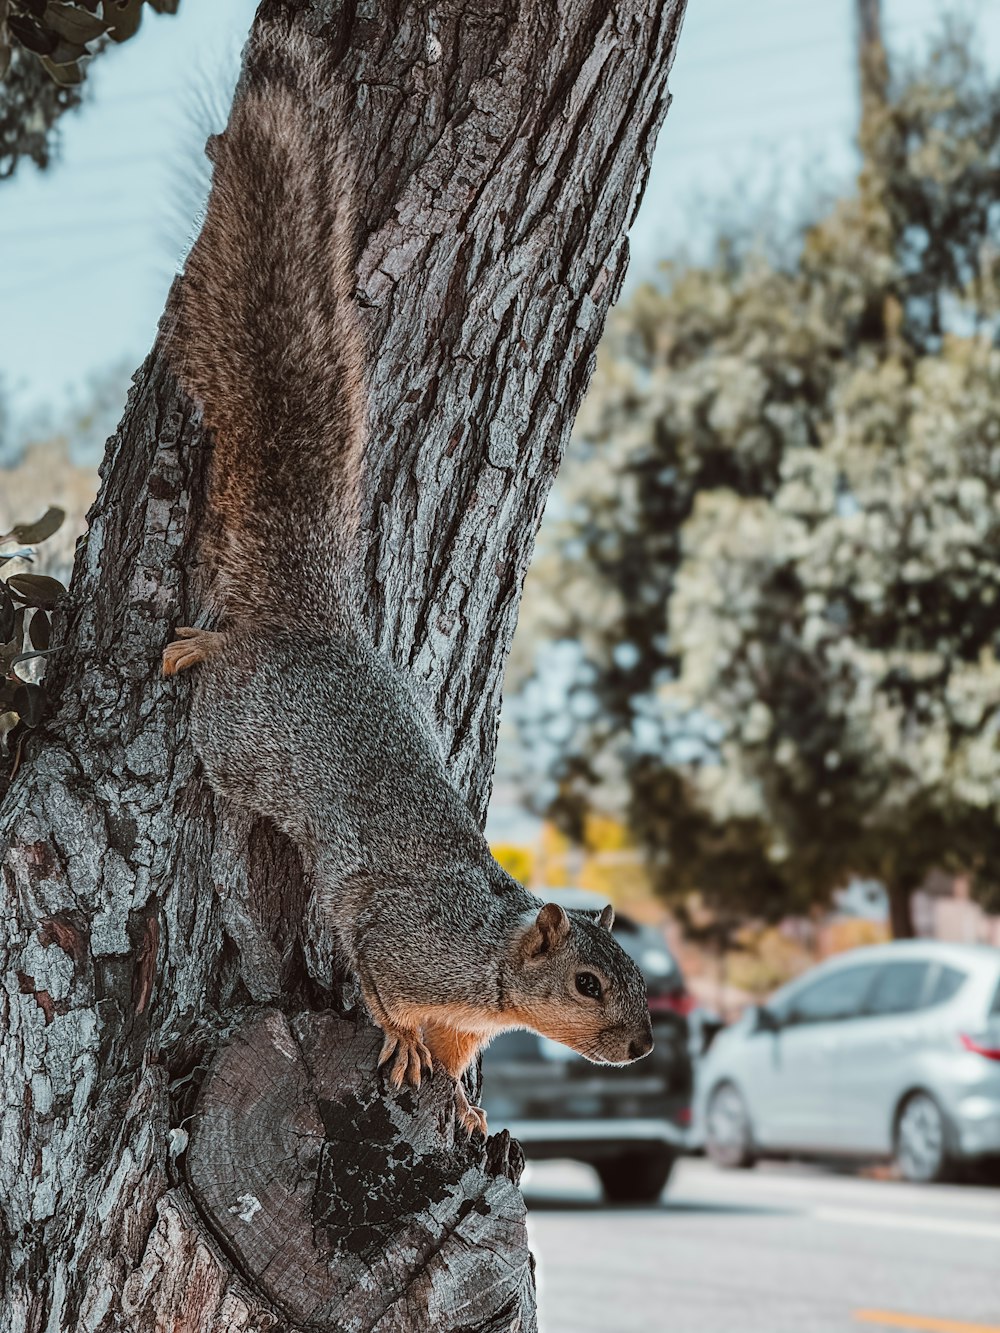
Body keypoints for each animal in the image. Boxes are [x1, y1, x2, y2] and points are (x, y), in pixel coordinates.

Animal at [160, 20, 653, 1135]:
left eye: (643, 976)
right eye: (588, 983)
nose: (645, 1043)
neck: (488, 964)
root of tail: (314, 625)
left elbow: (460, 1057)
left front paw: (464, 1105)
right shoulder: (393, 937)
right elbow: (381, 985)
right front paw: (400, 1043)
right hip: (241, 741)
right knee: (223, 681)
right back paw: (198, 642)